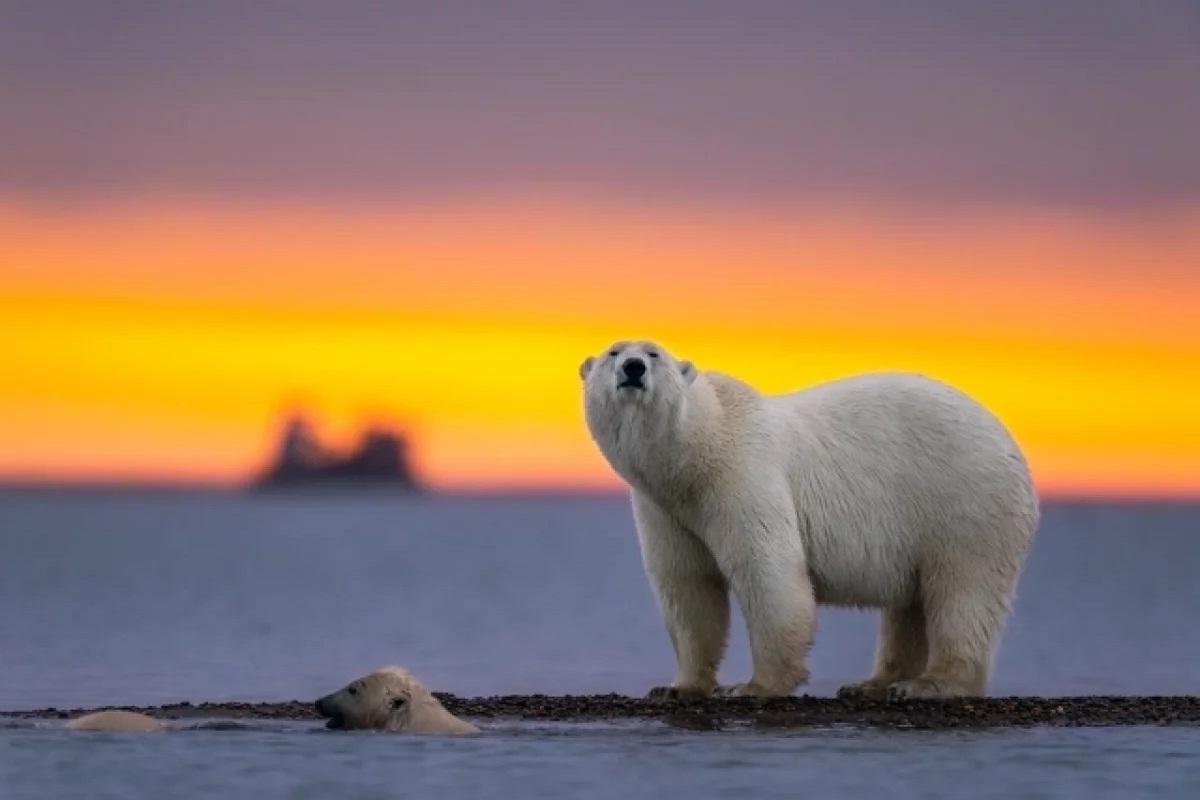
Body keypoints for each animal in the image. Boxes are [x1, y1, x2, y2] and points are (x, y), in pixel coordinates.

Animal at [583, 340, 1041, 695]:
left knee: (963, 591)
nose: (633, 367)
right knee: (910, 606)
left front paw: (754, 686)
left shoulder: (744, 476)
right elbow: (688, 587)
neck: (697, 453)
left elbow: (768, 572)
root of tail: (1011, 444)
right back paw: (872, 684)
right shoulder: (664, 509)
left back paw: (930, 684)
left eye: (654, 353)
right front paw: (679, 687)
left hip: (966, 501)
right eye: (613, 351)